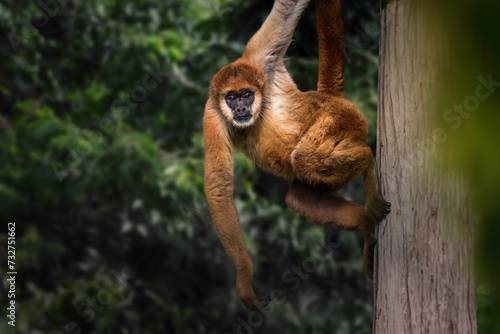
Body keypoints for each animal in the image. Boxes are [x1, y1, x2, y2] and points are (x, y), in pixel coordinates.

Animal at [203, 0, 390, 310]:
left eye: (246, 95)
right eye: (231, 97)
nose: (241, 108)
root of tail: (328, 98)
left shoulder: (259, 61)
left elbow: (287, 9)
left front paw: (244, 279)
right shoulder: (213, 113)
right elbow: (218, 186)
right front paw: (245, 277)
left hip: (339, 119)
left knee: (306, 158)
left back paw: (366, 159)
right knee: (300, 198)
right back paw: (366, 220)